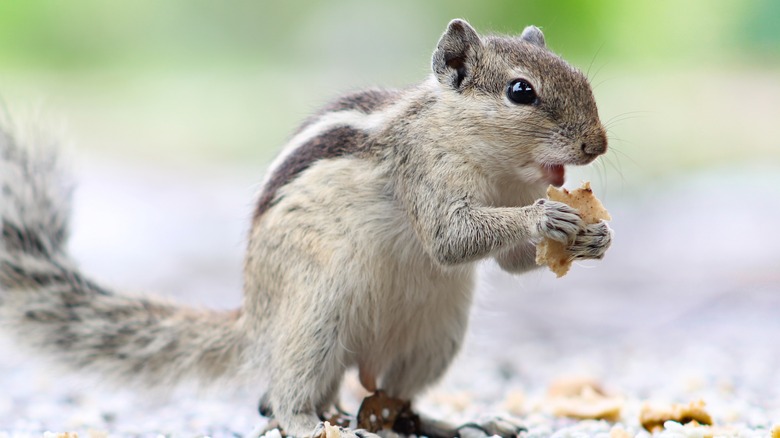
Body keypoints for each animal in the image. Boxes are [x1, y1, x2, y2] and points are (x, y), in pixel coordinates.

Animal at [0, 19, 608, 438]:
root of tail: (256, 321)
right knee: (289, 390)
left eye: (581, 76)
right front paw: (545, 216)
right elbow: (449, 237)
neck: (490, 163)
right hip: (312, 318)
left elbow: (510, 259)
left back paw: (453, 423)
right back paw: (307, 423)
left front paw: (593, 238)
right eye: (521, 91)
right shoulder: (422, 172)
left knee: (398, 399)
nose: (596, 145)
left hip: (434, 337)